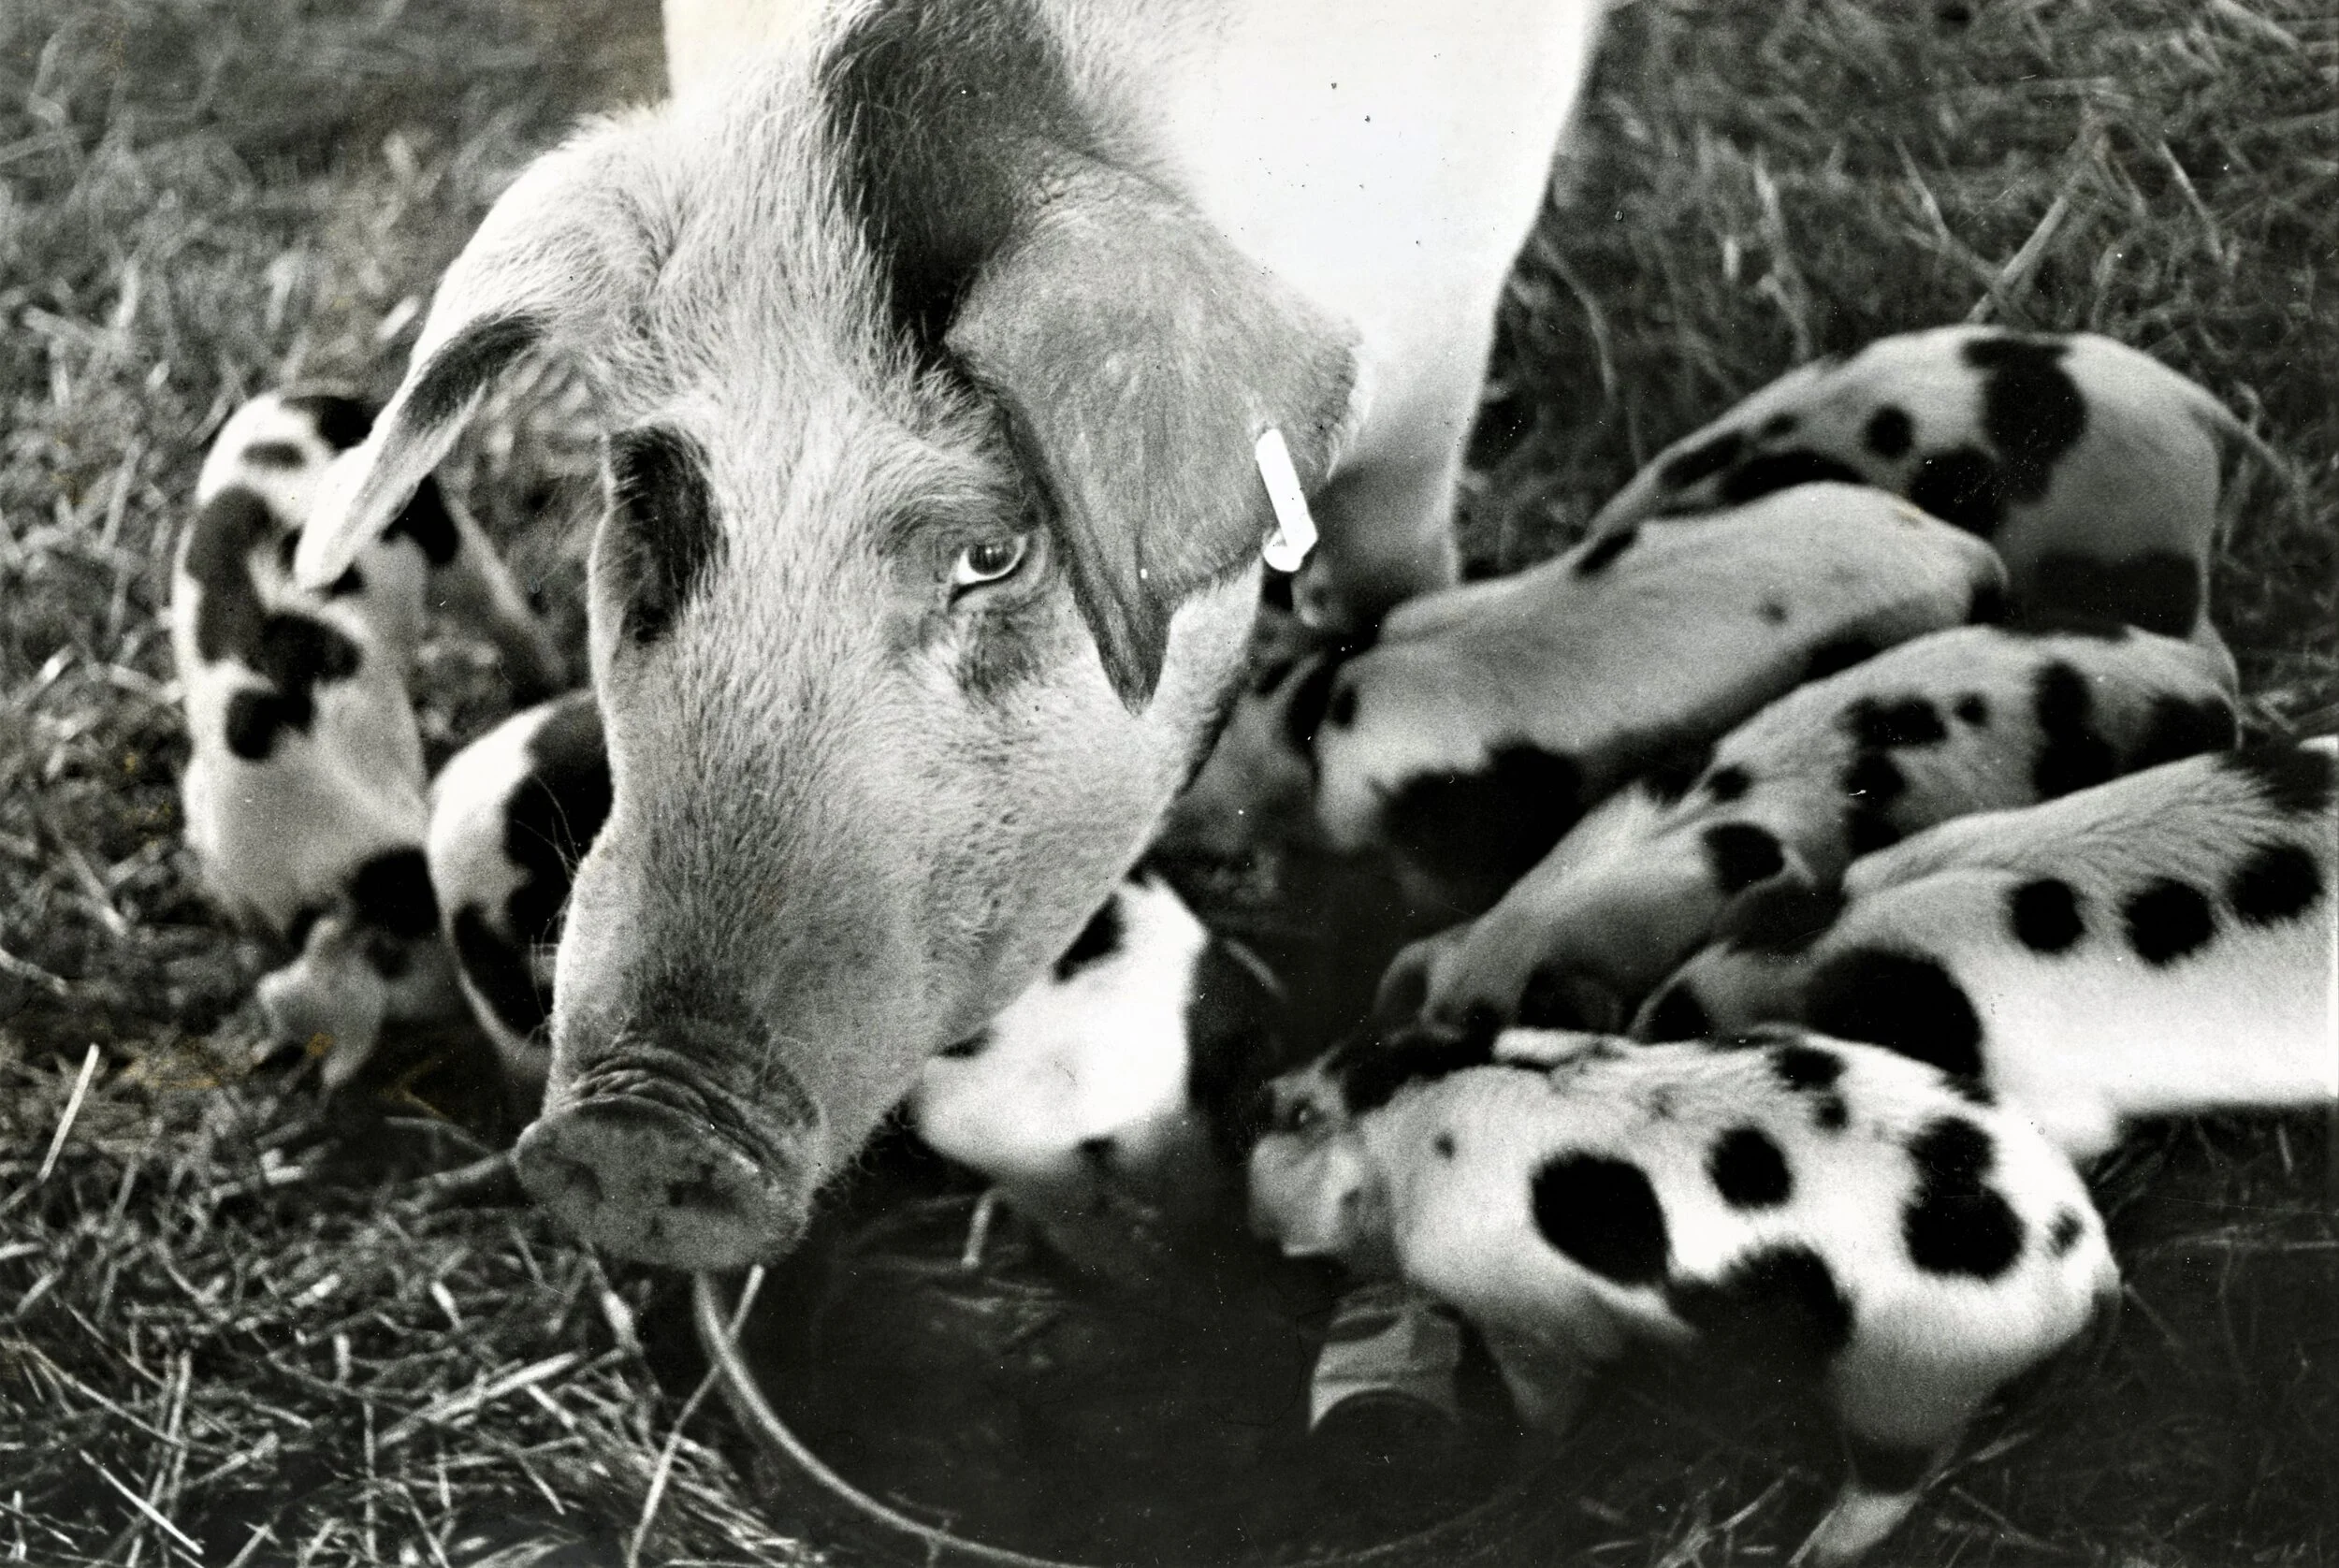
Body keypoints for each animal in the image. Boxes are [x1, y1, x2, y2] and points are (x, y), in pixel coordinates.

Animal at [1249, 1025, 2119, 1565]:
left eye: (1295, 1120)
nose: (1252, 1097)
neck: (1401, 1110)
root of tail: (2086, 1260)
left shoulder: (1521, 1308)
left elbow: (1549, 1387)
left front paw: (1528, 1448)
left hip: (1908, 1379)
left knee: (1894, 1479)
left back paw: (1816, 1550)